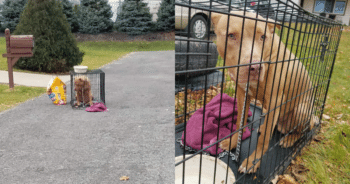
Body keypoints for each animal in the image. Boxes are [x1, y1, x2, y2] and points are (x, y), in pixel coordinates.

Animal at [211, 12, 320, 173]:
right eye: (231, 36)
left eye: (263, 37)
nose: (255, 67)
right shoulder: (242, 93)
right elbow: (239, 123)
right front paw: (233, 142)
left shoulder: (275, 100)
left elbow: (263, 141)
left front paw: (252, 162)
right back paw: (265, 128)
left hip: (302, 109)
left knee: (302, 131)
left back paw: (289, 139)